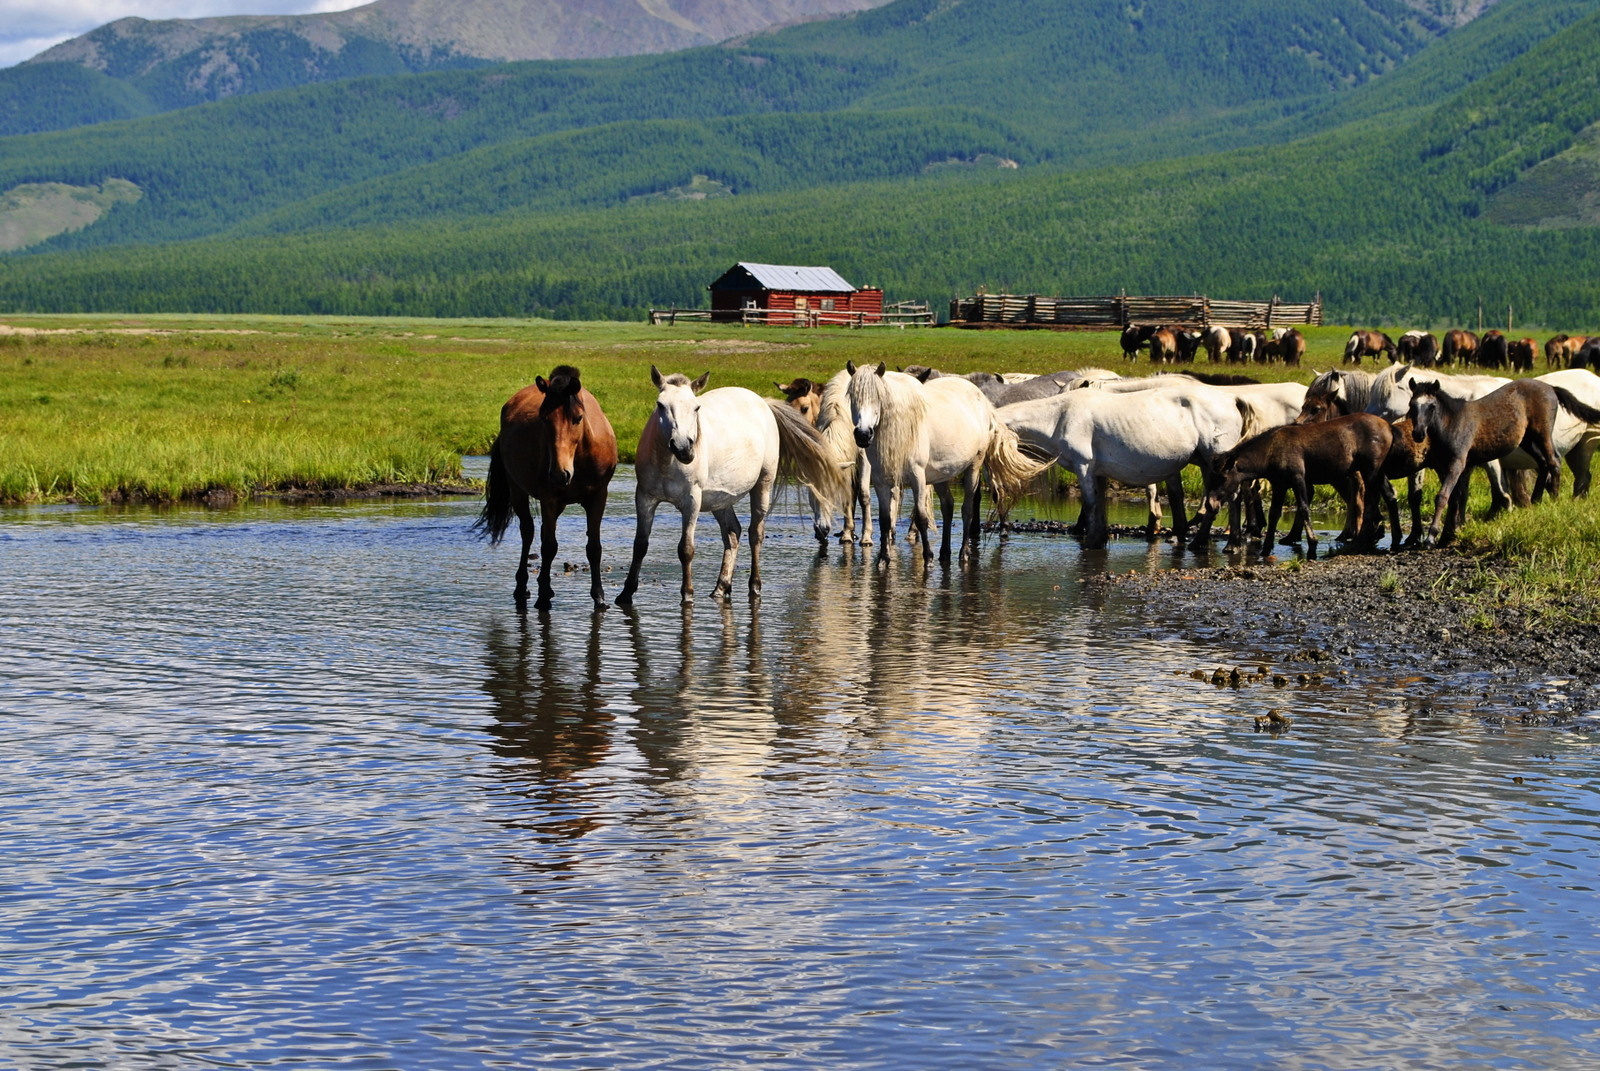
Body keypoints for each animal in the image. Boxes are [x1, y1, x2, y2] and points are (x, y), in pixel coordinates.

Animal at [470, 363, 614, 605]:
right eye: (544, 418)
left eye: (578, 418)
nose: (559, 474)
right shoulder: (549, 499)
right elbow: (549, 546)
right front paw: (544, 595)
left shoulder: (598, 496)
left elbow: (594, 548)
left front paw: (599, 597)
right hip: (518, 491)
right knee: (528, 532)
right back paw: (522, 587)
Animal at [611, 368, 851, 605]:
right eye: (660, 405)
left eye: (696, 407)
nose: (683, 448)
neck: (667, 461)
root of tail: (763, 402)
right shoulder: (645, 497)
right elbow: (640, 545)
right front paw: (626, 593)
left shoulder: (691, 501)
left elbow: (686, 549)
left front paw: (687, 594)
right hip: (720, 499)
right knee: (733, 533)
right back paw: (721, 587)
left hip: (763, 485)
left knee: (755, 535)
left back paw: (754, 585)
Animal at [844, 358, 1043, 563]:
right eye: (852, 398)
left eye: (877, 398)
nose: (863, 434)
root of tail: (985, 403)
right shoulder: (881, 481)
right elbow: (885, 520)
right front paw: (884, 559)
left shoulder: (917, 477)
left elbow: (921, 517)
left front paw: (927, 555)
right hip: (942, 475)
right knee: (948, 506)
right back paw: (945, 552)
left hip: (974, 466)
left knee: (967, 509)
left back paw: (963, 552)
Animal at [998, 379, 1248, 547]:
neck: (1059, 416)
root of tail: (1231, 399)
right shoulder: (1098, 472)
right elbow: (1098, 507)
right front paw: (1098, 541)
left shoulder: (1083, 466)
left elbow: (1090, 504)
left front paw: (1090, 542)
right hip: (1207, 464)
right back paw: (1219, 542)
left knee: (1229, 498)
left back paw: (1219, 542)